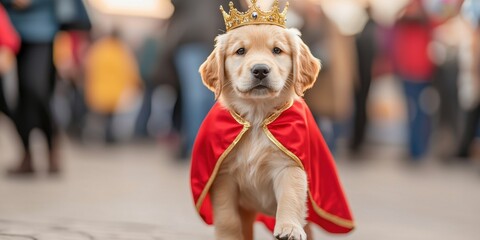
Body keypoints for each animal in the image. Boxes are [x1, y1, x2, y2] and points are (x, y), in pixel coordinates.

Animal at [199, 24, 318, 240]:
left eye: (277, 50)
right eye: (240, 51)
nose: (260, 70)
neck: (256, 117)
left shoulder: (290, 164)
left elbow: (290, 196)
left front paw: (289, 228)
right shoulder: (222, 175)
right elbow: (227, 217)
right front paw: (229, 236)